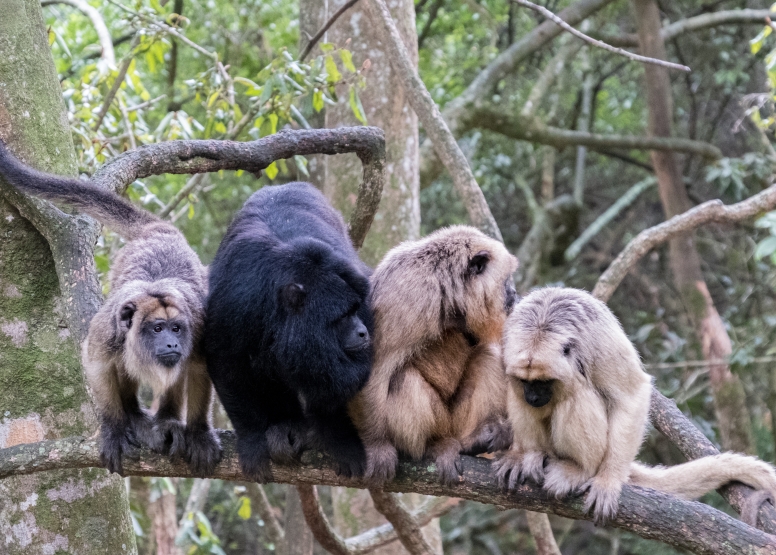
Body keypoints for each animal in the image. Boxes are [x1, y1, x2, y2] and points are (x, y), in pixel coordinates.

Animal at [0, 141, 221, 476]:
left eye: (176, 329)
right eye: (157, 328)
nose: (172, 343)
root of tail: (160, 233)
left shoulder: (198, 325)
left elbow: (199, 368)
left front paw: (198, 433)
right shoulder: (108, 330)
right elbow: (98, 367)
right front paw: (115, 428)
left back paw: (167, 420)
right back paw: (133, 414)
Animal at [354, 228, 520, 484]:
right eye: (506, 280)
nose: (514, 293)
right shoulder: (405, 299)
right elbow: (371, 369)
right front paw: (375, 446)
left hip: (457, 421)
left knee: (488, 355)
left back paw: (473, 440)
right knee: (402, 379)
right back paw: (433, 444)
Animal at [498, 288, 776, 524]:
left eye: (544, 382)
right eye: (526, 381)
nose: (533, 397)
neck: (544, 322)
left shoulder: (597, 340)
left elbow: (632, 395)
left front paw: (609, 480)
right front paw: (518, 453)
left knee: (576, 391)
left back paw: (579, 469)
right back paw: (534, 454)